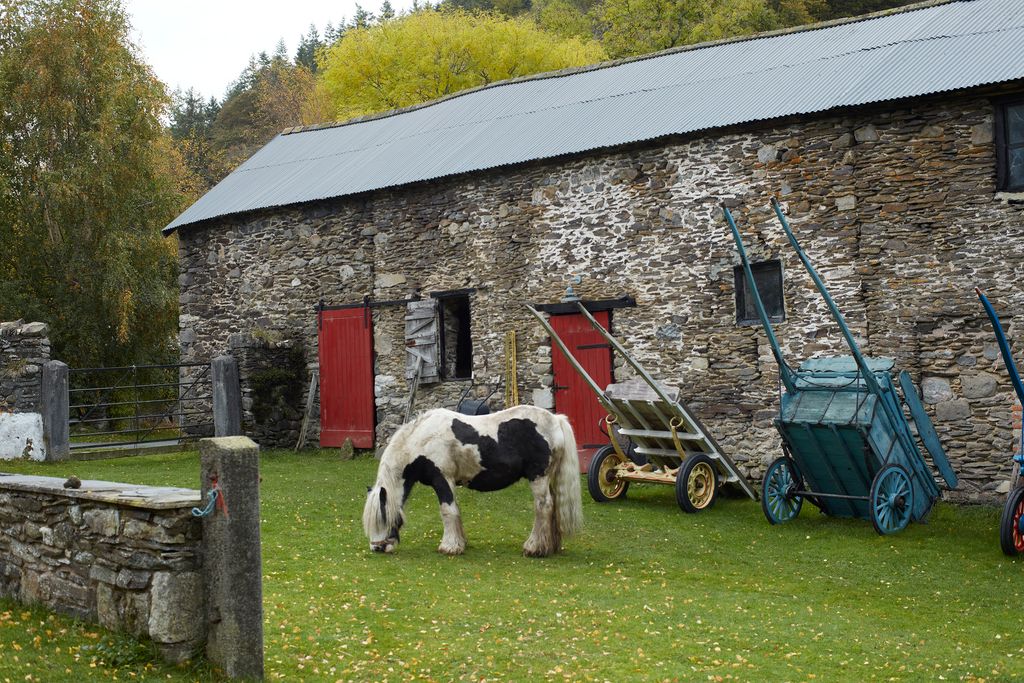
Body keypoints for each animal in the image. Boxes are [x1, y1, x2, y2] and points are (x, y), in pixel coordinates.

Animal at [362, 404, 583, 557]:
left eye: (382, 518)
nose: (377, 548)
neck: (422, 441)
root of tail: (556, 420)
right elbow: (455, 510)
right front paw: (460, 543)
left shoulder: (442, 479)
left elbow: (447, 510)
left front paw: (449, 547)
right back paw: (550, 546)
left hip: (538, 477)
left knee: (544, 506)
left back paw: (534, 548)